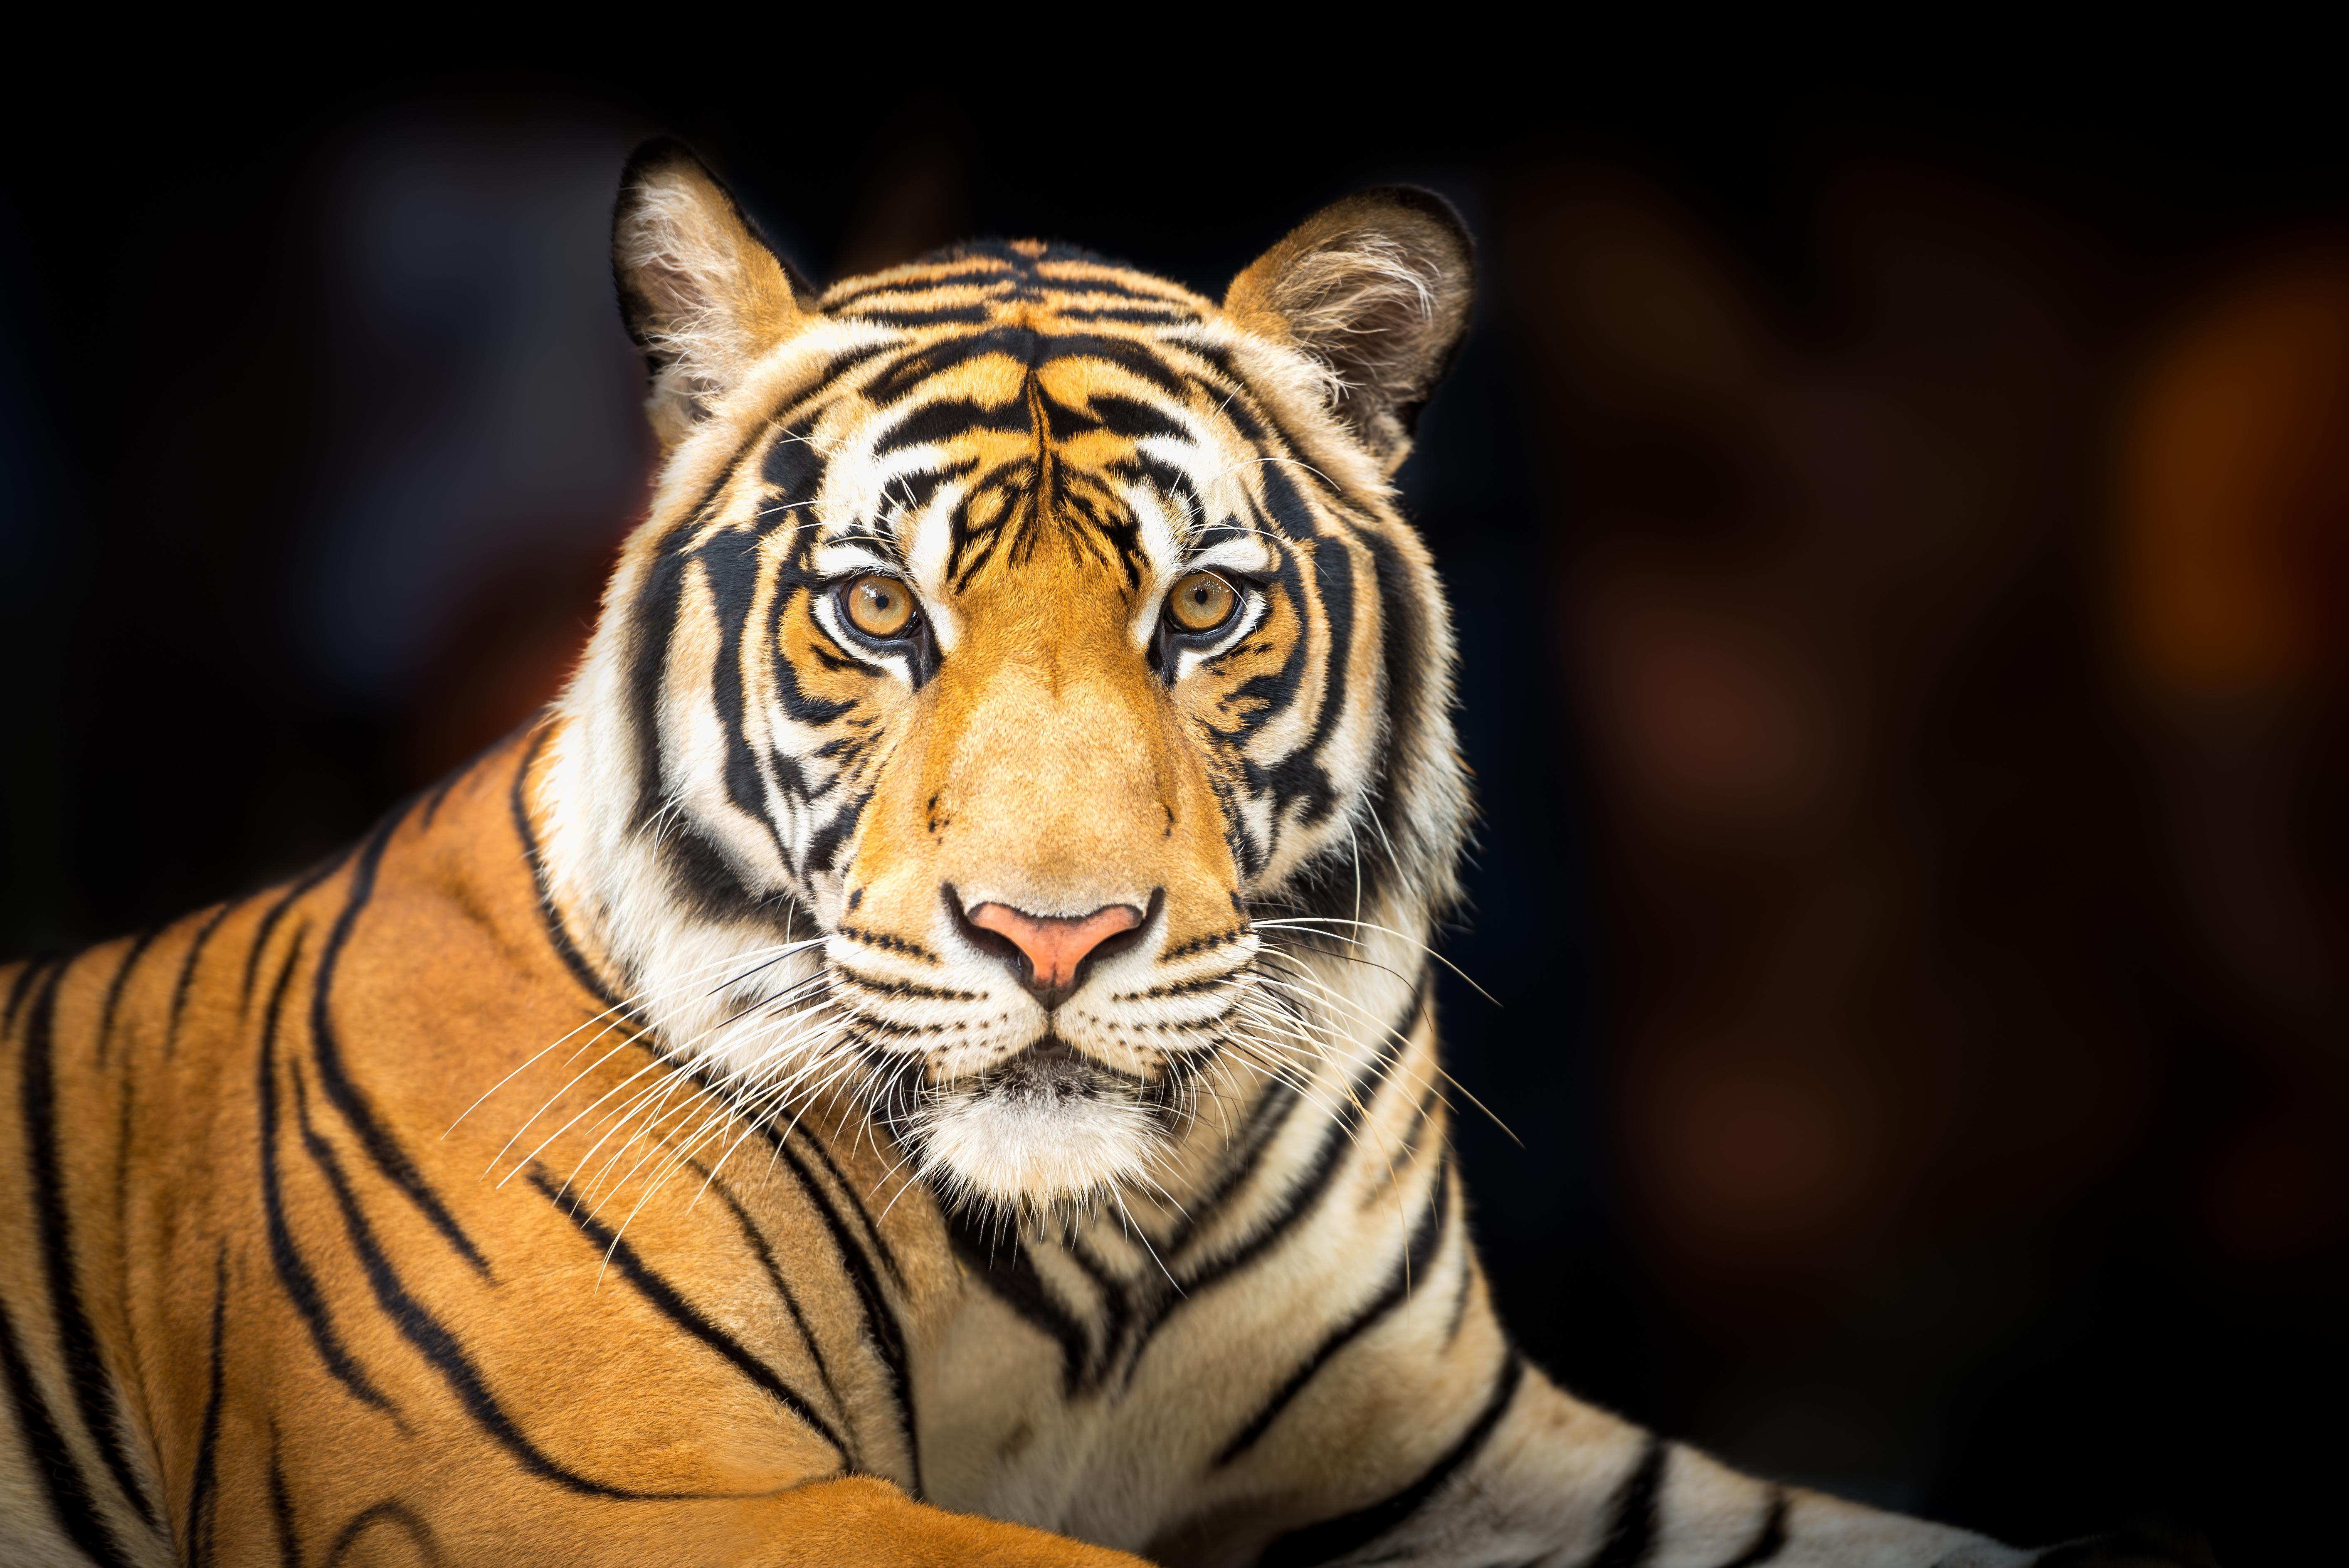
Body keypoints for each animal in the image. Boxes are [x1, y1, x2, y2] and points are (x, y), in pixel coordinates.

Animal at [0, 139, 2187, 1567]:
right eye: (875, 612)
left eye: (1199, 609)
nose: (1053, 940)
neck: (1084, 1265)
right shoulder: (584, 1489)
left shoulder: (1463, 1448)